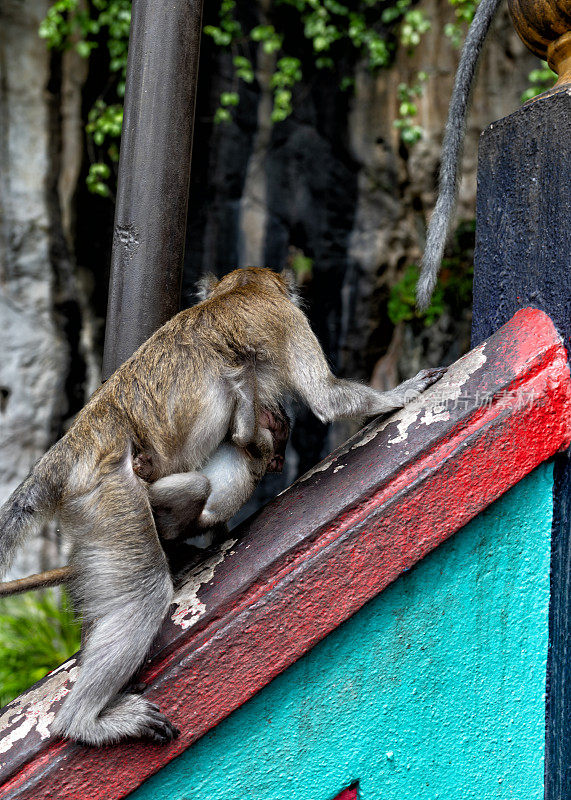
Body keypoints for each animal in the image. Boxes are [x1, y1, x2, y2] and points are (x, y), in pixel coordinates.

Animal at [0, 268, 444, 744]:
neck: (239, 291)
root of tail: (75, 444)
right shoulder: (282, 317)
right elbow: (326, 397)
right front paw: (399, 393)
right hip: (109, 495)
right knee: (146, 592)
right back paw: (83, 721)